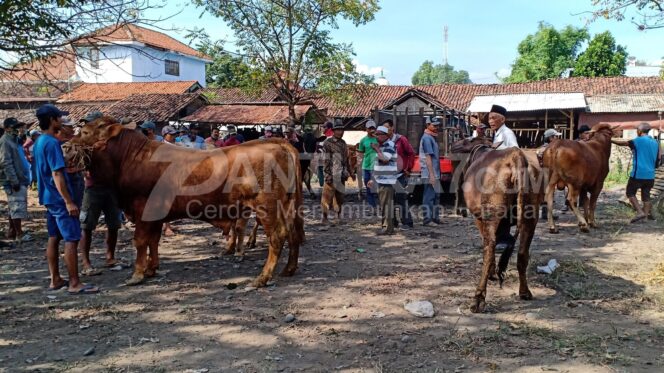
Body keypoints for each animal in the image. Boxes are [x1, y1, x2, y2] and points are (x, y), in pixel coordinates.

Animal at [69, 117, 304, 286]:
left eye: (85, 132)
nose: (66, 147)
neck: (131, 158)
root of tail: (279, 143)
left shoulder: (143, 208)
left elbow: (141, 241)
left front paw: (137, 274)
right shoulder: (156, 215)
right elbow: (153, 241)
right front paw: (151, 269)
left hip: (267, 208)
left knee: (277, 237)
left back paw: (262, 278)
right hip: (287, 207)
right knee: (292, 234)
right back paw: (288, 269)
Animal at [452, 138, 544, 312]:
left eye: (466, 141)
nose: (455, 146)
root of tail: (516, 156)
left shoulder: (480, 218)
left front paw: (492, 273)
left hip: (490, 214)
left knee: (489, 248)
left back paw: (479, 297)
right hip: (530, 217)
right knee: (522, 254)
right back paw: (524, 291)